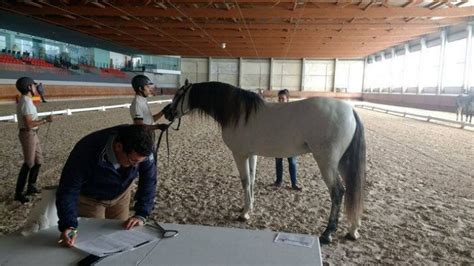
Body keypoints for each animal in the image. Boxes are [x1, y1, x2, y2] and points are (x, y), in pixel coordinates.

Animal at [163, 81, 366, 245]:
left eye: (179, 94)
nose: (166, 112)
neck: (239, 114)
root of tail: (350, 111)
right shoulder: (252, 155)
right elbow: (251, 181)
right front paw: (249, 207)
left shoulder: (240, 155)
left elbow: (245, 181)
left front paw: (244, 214)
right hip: (343, 162)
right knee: (352, 190)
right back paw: (353, 231)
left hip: (327, 162)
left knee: (338, 192)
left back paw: (327, 234)